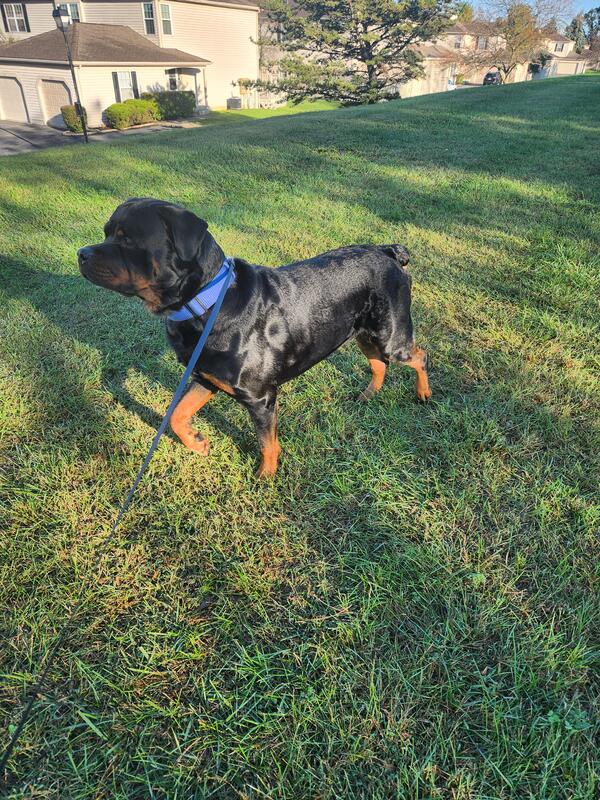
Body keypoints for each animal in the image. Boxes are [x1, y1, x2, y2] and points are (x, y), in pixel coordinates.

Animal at [79, 198, 431, 477]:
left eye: (126, 239)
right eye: (106, 231)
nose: (80, 253)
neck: (208, 303)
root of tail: (387, 251)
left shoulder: (261, 397)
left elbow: (267, 444)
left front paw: (266, 476)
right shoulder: (205, 377)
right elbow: (176, 414)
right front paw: (196, 442)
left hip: (390, 335)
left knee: (418, 356)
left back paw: (423, 394)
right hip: (362, 334)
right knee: (379, 364)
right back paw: (368, 395)